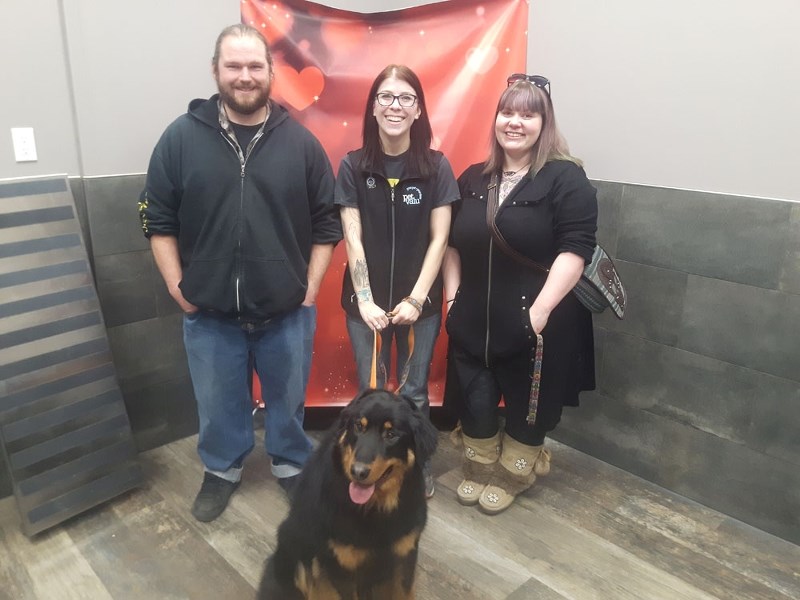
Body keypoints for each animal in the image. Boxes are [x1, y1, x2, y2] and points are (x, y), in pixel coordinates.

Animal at [258, 390, 438, 600]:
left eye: (391, 434)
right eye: (359, 426)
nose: (358, 472)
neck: (374, 509)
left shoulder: (404, 556)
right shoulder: (340, 565)